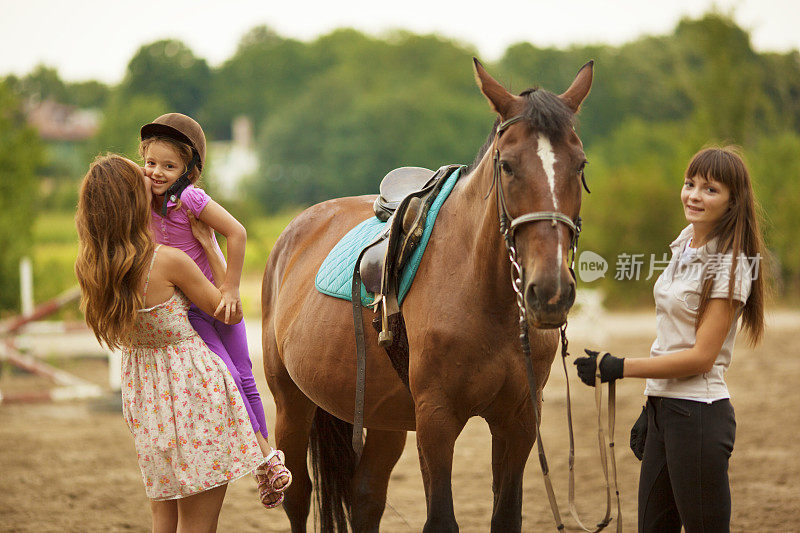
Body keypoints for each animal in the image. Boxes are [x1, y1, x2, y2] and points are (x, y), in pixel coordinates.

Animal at [262, 60, 592, 528]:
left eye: (580, 165)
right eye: (508, 166)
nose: (549, 292)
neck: (484, 295)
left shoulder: (521, 419)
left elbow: (506, 515)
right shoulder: (436, 419)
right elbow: (440, 519)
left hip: (383, 419)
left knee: (365, 500)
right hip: (291, 403)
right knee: (297, 496)